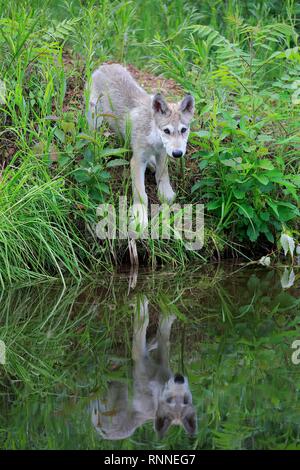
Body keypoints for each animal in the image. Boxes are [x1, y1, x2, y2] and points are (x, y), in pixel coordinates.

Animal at [87, 63, 195, 229]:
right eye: (166, 131)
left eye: (184, 130)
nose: (177, 154)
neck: (155, 138)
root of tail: (105, 65)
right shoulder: (137, 161)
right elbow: (141, 194)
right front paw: (140, 216)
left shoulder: (163, 153)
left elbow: (163, 175)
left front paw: (166, 193)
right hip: (95, 120)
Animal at [92, 296, 198, 438]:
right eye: (186, 400)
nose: (179, 379)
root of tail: (102, 431)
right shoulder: (161, 365)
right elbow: (164, 340)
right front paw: (167, 316)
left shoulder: (140, 360)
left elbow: (143, 325)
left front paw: (141, 307)